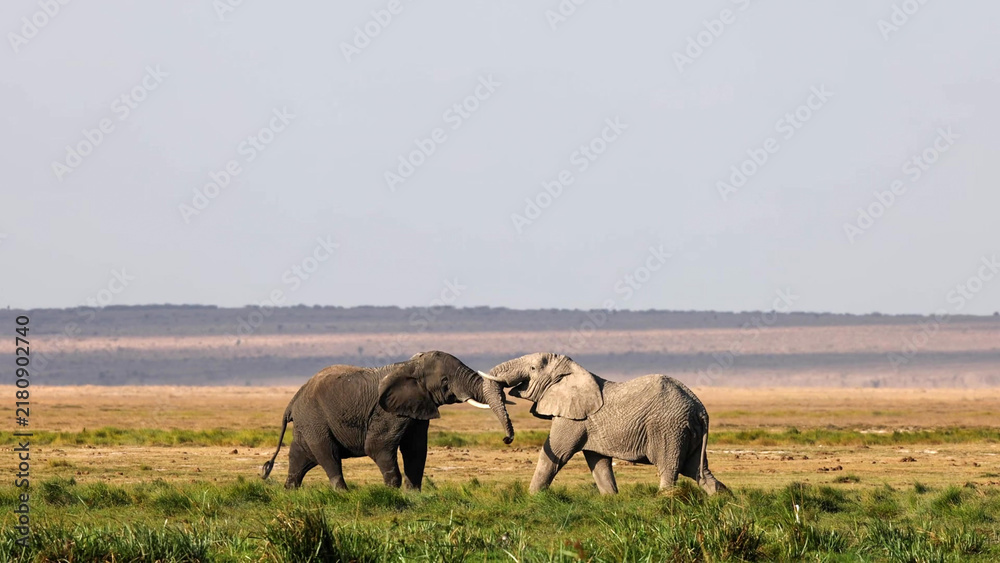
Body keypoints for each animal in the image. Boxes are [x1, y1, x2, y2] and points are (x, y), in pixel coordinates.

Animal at [261, 351, 513, 490]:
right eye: (445, 381)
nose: (507, 439)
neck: (410, 365)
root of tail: (293, 399)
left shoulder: (417, 409)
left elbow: (416, 450)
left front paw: (413, 494)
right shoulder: (388, 412)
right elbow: (377, 447)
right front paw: (392, 491)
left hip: (307, 423)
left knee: (300, 458)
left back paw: (289, 491)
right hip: (315, 419)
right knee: (328, 455)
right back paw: (343, 493)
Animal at [483, 353, 726, 495]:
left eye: (533, 369)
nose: (507, 438)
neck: (574, 372)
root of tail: (700, 409)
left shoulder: (573, 419)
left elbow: (555, 454)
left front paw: (532, 498)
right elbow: (598, 463)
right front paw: (611, 499)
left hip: (669, 428)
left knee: (670, 469)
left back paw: (665, 500)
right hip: (688, 431)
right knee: (698, 471)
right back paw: (724, 501)